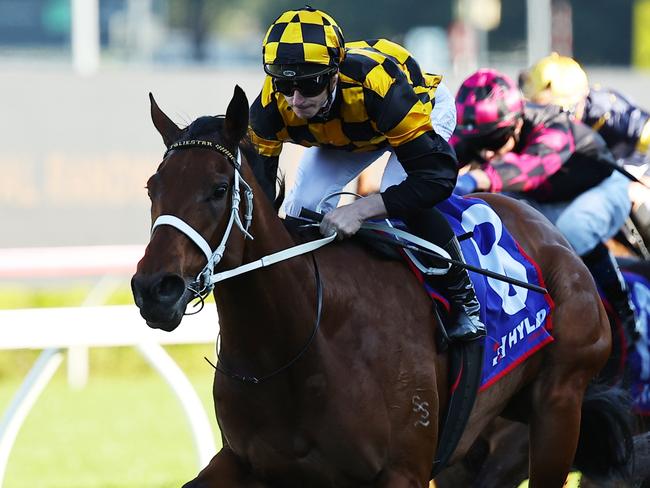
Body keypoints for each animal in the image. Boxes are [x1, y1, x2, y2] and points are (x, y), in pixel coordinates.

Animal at [129, 86, 632, 486]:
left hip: (558, 406)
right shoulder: (248, 462)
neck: (298, 345)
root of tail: (554, 238)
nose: (154, 289)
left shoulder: (403, 470)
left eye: (218, 189)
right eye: (153, 188)